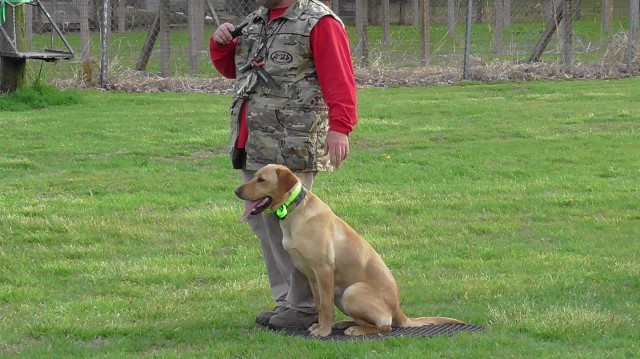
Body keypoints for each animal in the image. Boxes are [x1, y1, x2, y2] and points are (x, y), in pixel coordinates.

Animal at [235, 165, 464, 338]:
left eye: (261, 180)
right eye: (253, 177)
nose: (236, 191)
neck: (295, 213)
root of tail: (399, 309)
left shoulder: (324, 270)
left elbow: (326, 306)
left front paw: (323, 331)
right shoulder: (310, 274)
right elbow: (320, 305)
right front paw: (320, 326)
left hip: (352, 292)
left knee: (385, 326)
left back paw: (355, 329)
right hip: (342, 295)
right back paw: (345, 324)